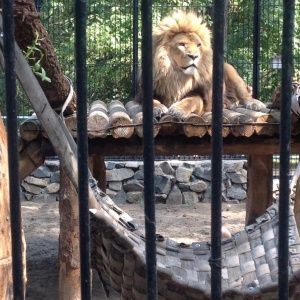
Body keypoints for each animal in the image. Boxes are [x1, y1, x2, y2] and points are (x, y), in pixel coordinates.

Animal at [135, 11, 266, 119]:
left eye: (198, 45)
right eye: (182, 44)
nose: (194, 56)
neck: (177, 76)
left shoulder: (201, 95)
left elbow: (191, 101)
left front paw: (178, 110)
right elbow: (150, 100)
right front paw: (158, 108)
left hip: (233, 74)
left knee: (245, 95)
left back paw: (254, 103)